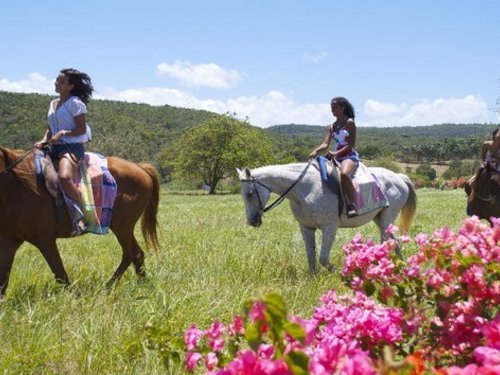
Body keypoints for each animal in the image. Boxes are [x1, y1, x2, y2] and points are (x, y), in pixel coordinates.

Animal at [0, 148, 159, 300]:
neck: (18, 186)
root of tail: (140, 168)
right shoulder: (10, 241)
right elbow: (3, 279)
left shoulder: (45, 240)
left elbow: (60, 273)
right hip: (124, 228)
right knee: (136, 254)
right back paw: (140, 284)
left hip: (122, 227)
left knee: (131, 253)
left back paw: (111, 286)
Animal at [236, 162, 416, 274]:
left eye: (250, 193)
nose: (252, 221)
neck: (305, 189)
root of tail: (399, 177)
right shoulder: (306, 227)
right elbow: (311, 255)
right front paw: (313, 276)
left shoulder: (330, 227)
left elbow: (323, 258)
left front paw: (339, 272)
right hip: (379, 218)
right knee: (393, 241)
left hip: (387, 218)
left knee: (389, 241)